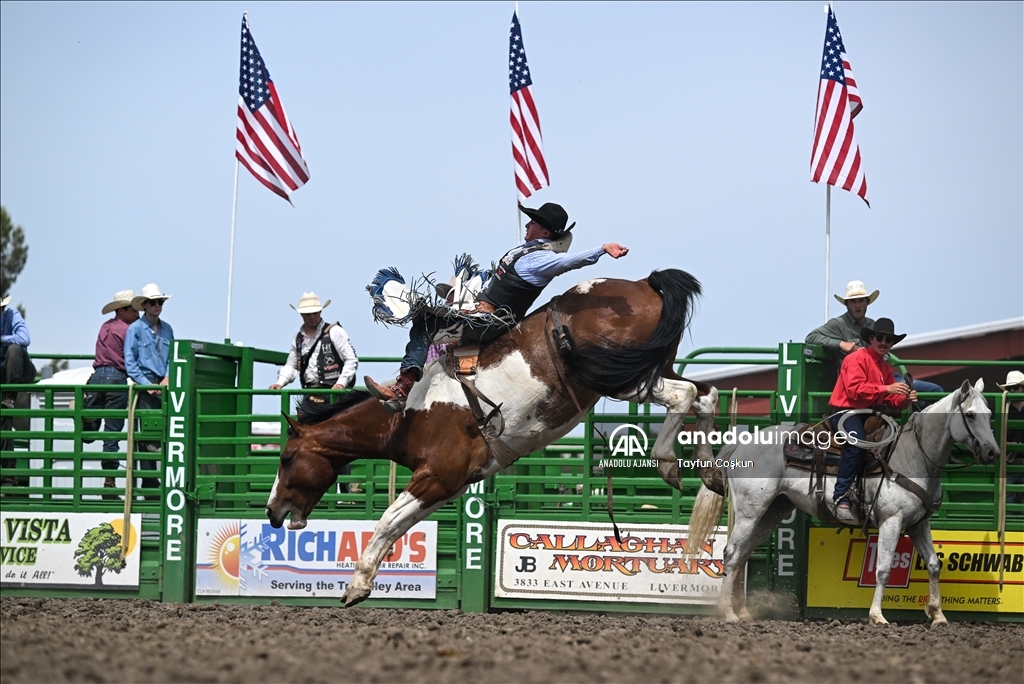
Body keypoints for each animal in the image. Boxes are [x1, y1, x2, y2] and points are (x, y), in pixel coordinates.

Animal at [268, 270, 716, 606]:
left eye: (286, 458)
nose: (273, 512)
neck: (407, 414)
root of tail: (644, 282)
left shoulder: (438, 475)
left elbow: (387, 521)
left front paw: (356, 586)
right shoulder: (448, 485)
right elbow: (399, 525)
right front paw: (364, 581)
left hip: (618, 376)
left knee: (686, 394)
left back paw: (668, 462)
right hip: (651, 368)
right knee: (706, 395)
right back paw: (710, 474)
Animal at [688, 378, 999, 626]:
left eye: (989, 414)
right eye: (971, 415)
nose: (993, 453)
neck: (913, 456)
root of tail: (742, 442)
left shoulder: (919, 524)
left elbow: (934, 564)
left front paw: (938, 615)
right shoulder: (891, 521)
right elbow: (883, 569)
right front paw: (877, 616)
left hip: (772, 511)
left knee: (742, 555)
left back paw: (743, 613)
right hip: (750, 512)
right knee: (731, 554)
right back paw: (728, 613)